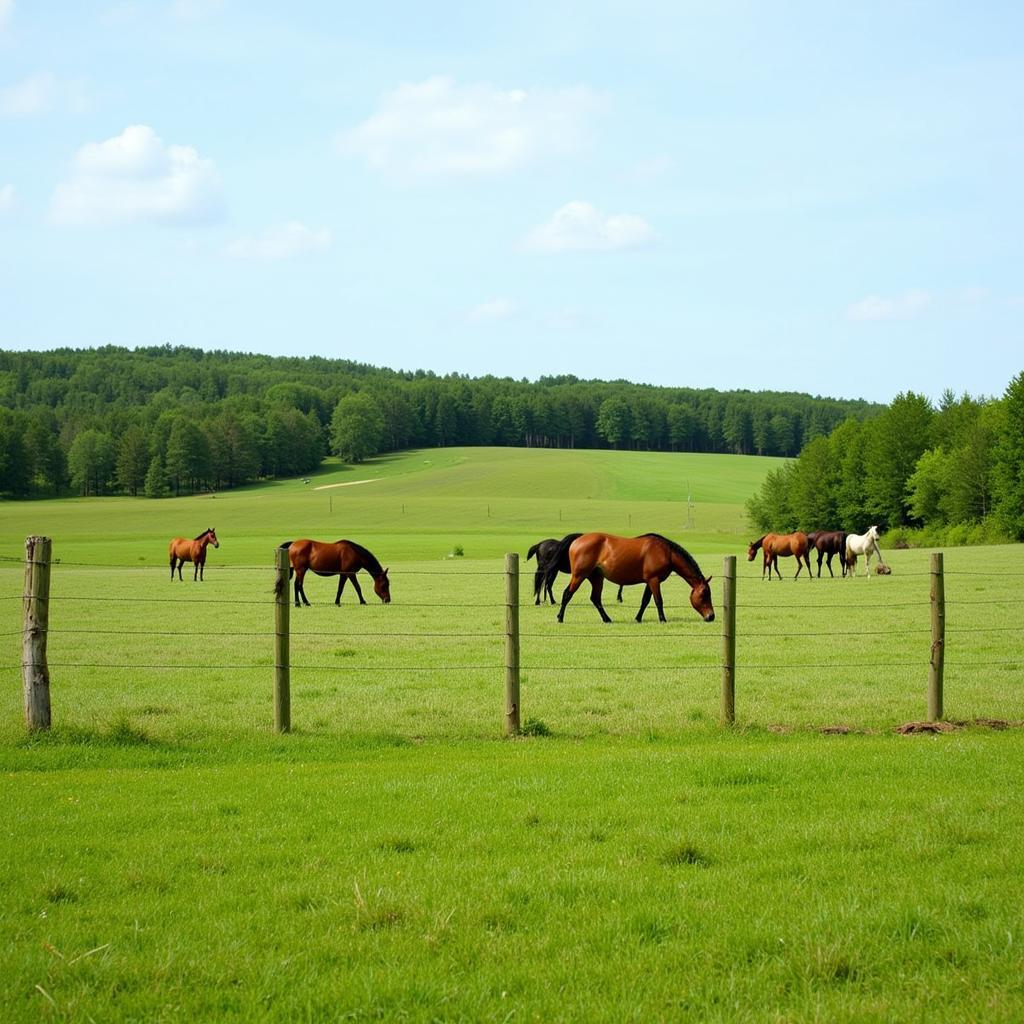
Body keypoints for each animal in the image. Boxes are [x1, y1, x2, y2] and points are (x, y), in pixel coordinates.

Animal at [552, 532, 712, 626]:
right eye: (705, 594)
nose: (711, 616)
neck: (666, 552)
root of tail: (577, 540)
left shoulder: (650, 581)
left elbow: (645, 601)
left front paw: (638, 618)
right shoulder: (654, 580)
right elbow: (658, 601)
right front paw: (662, 619)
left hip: (596, 578)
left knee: (595, 599)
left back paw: (607, 619)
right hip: (579, 576)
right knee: (567, 594)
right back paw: (560, 617)